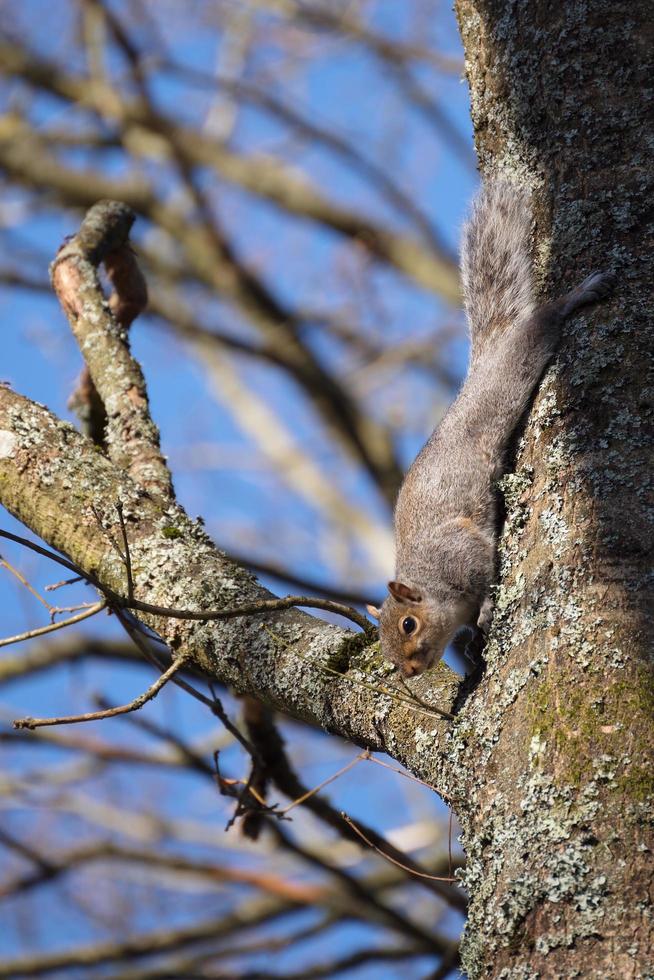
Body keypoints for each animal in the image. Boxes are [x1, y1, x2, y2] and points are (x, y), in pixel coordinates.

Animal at [368, 180, 616, 676]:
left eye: (408, 624)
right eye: (384, 647)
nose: (410, 671)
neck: (431, 581)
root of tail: (481, 367)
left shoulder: (461, 552)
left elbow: (484, 572)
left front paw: (482, 613)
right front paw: (469, 641)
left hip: (511, 371)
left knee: (540, 325)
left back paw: (579, 294)